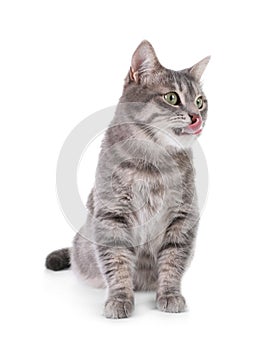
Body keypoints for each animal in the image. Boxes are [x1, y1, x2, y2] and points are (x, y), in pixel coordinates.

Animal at [46, 39, 209, 318]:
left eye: (200, 101)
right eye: (172, 97)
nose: (196, 116)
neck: (153, 163)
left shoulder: (182, 217)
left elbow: (172, 261)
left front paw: (170, 295)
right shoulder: (112, 216)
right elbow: (118, 262)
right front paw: (120, 299)